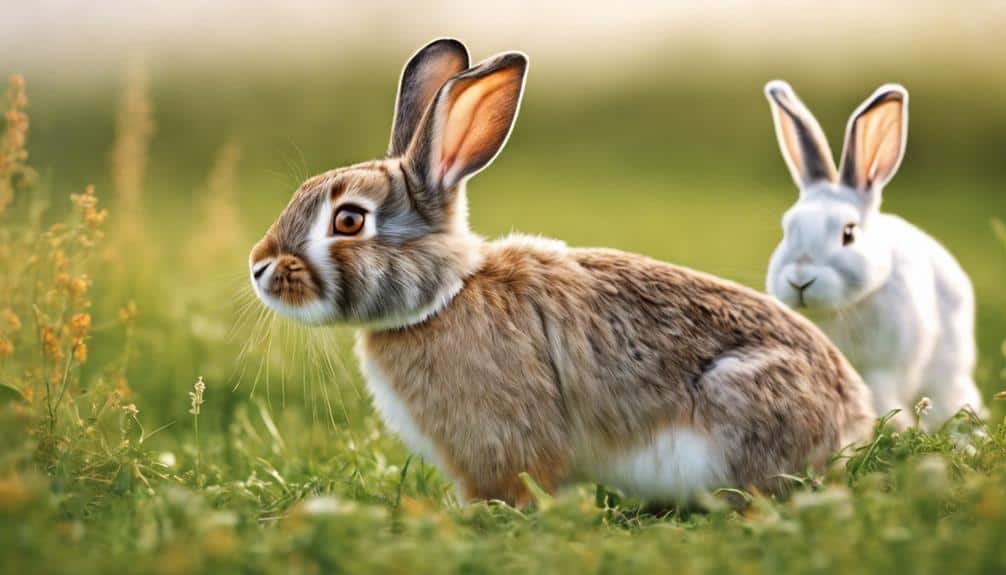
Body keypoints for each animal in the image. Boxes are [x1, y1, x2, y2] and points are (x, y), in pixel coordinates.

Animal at [763, 80, 985, 431]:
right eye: (787, 229)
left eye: (848, 233)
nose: (800, 280)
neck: (838, 312)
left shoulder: (882, 369)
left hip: (949, 365)